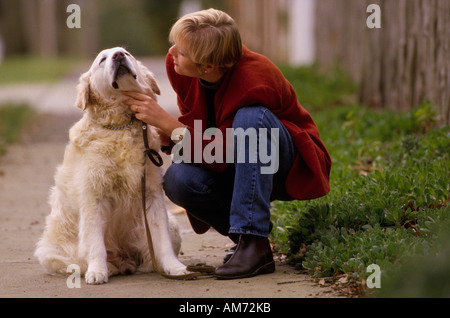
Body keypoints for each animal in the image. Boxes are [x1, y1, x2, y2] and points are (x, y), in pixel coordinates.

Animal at [34, 46, 190, 284]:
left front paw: (174, 267)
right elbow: (95, 243)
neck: (121, 126)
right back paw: (112, 267)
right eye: (102, 59)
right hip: (50, 253)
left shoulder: (152, 194)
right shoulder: (93, 197)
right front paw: (97, 272)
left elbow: (161, 240)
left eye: (127, 53)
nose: (118, 56)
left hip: (171, 226)